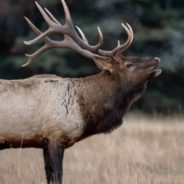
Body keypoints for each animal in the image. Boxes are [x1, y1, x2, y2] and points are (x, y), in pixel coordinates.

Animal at [0, 0, 161, 184]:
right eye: (129, 64)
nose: (156, 59)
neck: (85, 110)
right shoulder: (55, 136)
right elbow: (56, 177)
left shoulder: (45, 141)